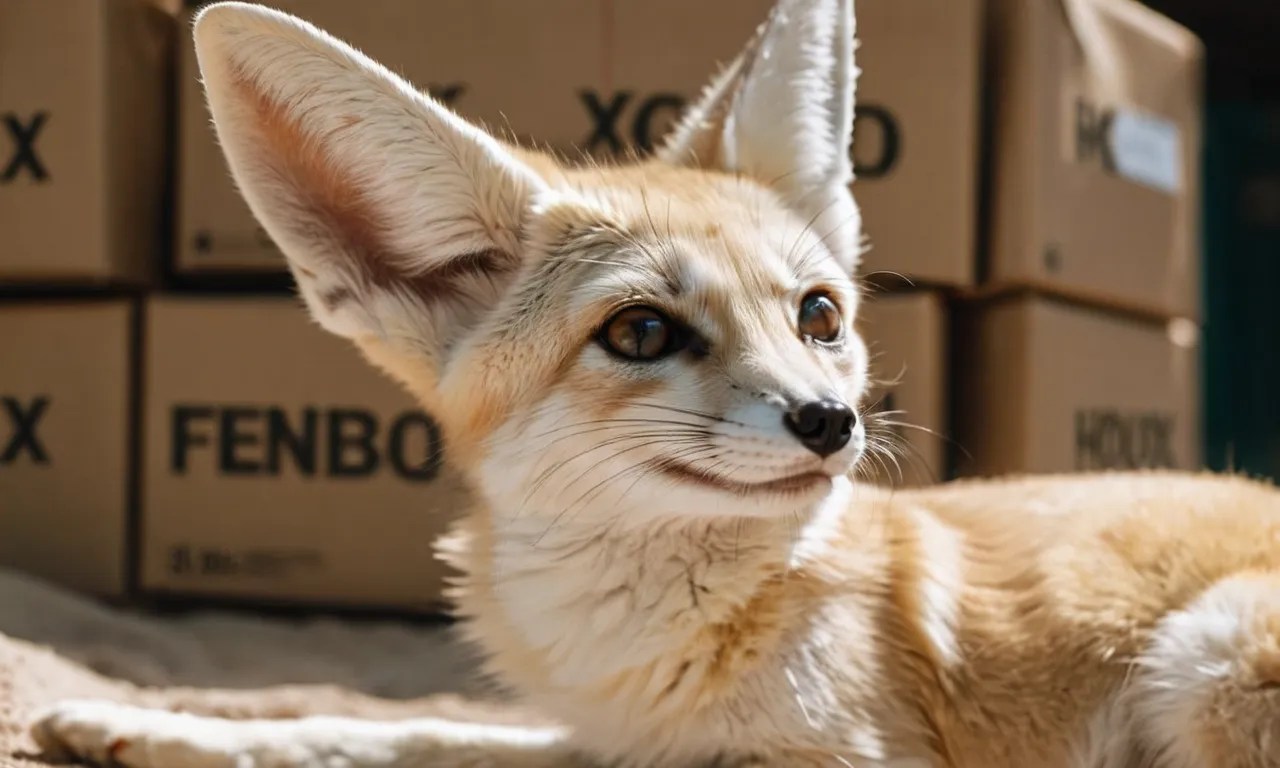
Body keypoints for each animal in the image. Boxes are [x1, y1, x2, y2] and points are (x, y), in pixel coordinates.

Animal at [26, 0, 1280, 766]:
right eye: (640, 331)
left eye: (817, 316)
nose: (831, 422)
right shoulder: (609, 736)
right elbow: (409, 734)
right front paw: (154, 727)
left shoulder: (834, 755)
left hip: (1202, 654)